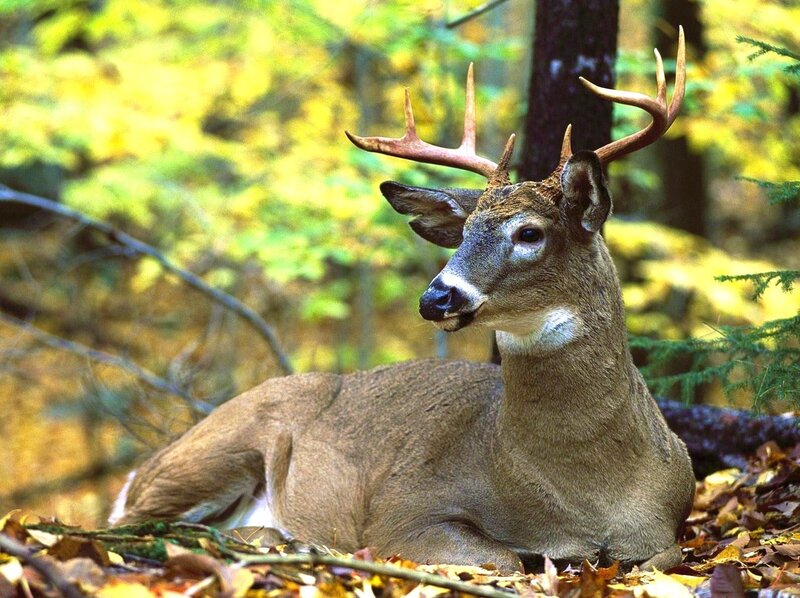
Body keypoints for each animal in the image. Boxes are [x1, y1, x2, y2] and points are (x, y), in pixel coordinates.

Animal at [109, 29, 694, 573]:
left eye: (529, 233)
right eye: (464, 233)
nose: (436, 296)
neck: (584, 497)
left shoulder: (667, 527)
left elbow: (662, 557)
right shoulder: (406, 508)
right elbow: (504, 558)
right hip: (217, 448)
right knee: (133, 524)